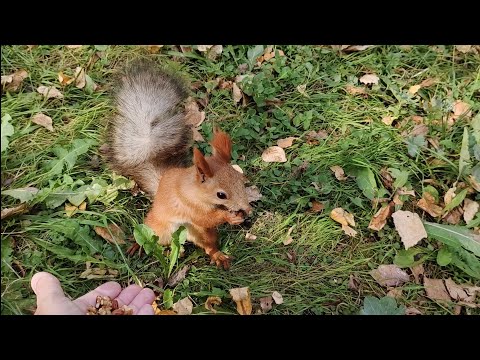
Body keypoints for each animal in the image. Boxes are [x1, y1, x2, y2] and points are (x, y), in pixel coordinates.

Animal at [106, 59, 251, 268]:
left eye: (241, 179)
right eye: (221, 195)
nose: (247, 208)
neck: (194, 191)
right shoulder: (187, 204)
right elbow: (205, 218)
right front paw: (228, 216)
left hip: (202, 233)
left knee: (208, 245)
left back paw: (218, 255)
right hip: (161, 228)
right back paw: (138, 245)